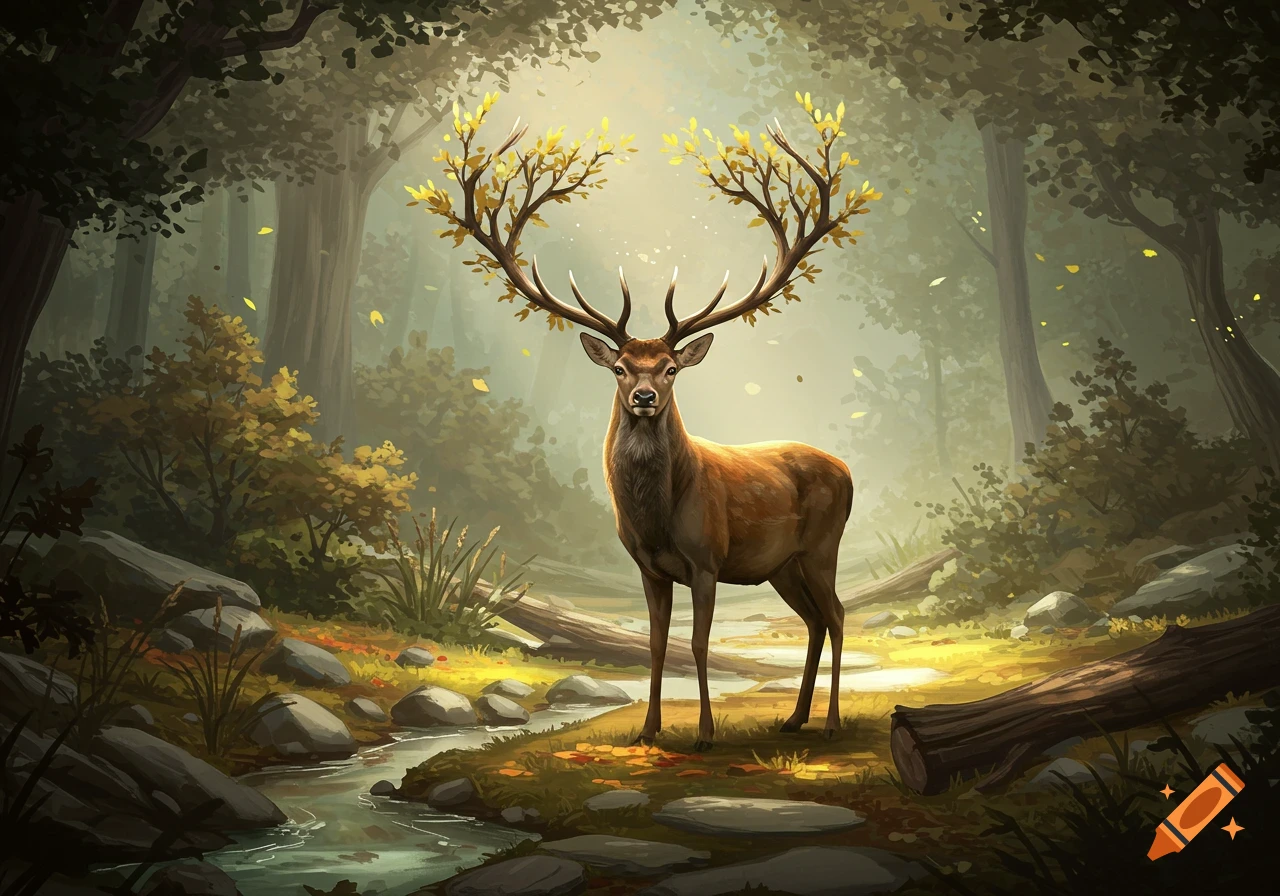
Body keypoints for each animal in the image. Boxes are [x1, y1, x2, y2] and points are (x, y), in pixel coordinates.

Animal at [407, 91, 878, 749]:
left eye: (672, 368)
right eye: (621, 367)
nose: (647, 398)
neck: (656, 519)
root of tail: (848, 470)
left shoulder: (707, 558)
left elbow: (698, 645)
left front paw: (704, 734)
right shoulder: (649, 568)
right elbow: (657, 646)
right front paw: (649, 730)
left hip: (821, 545)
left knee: (836, 615)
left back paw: (830, 722)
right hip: (781, 565)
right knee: (812, 620)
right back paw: (794, 718)